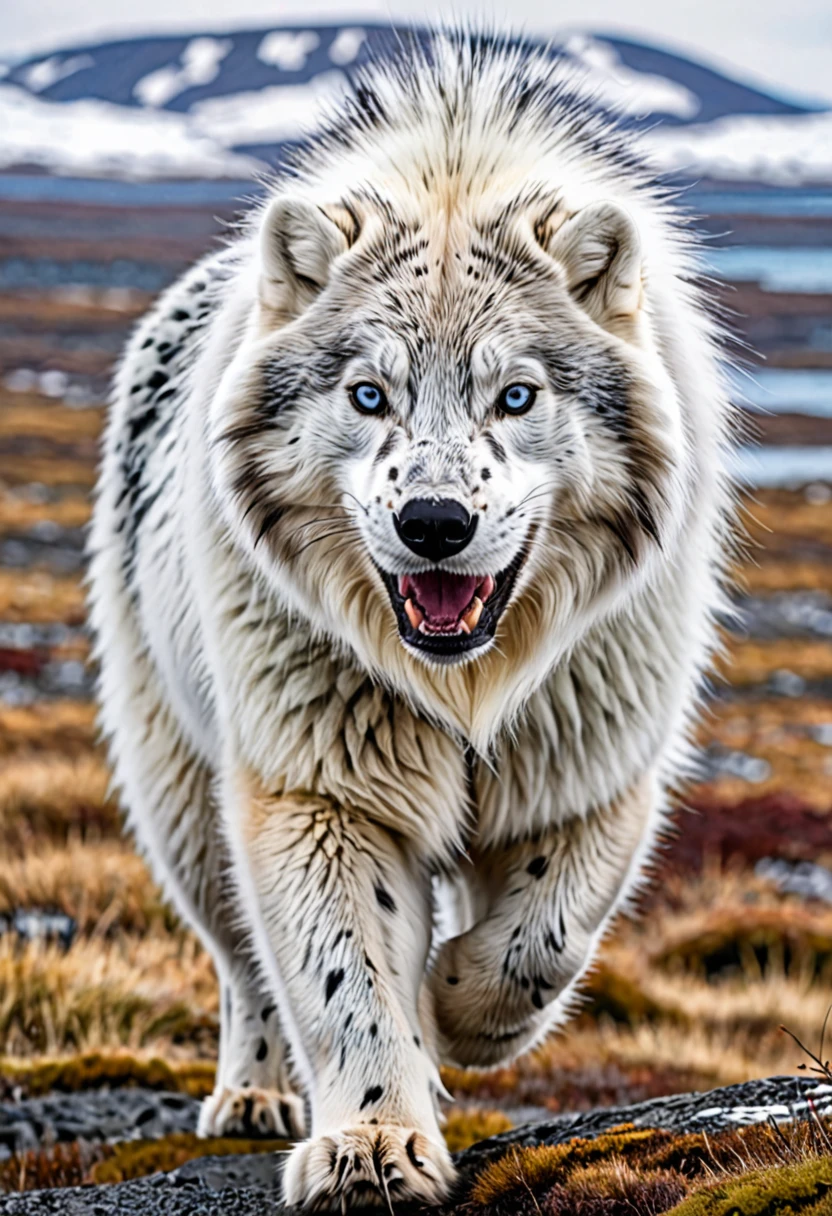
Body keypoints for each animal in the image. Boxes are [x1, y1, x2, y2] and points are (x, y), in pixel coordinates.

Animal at [87, 33, 729, 1211]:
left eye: (516, 395)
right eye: (368, 394)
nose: (436, 521)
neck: (462, 684)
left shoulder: (591, 754)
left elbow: (540, 935)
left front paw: (457, 1009)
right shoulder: (319, 777)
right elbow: (342, 969)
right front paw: (374, 1145)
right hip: (175, 774)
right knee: (241, 955)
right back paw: (255, 1097)